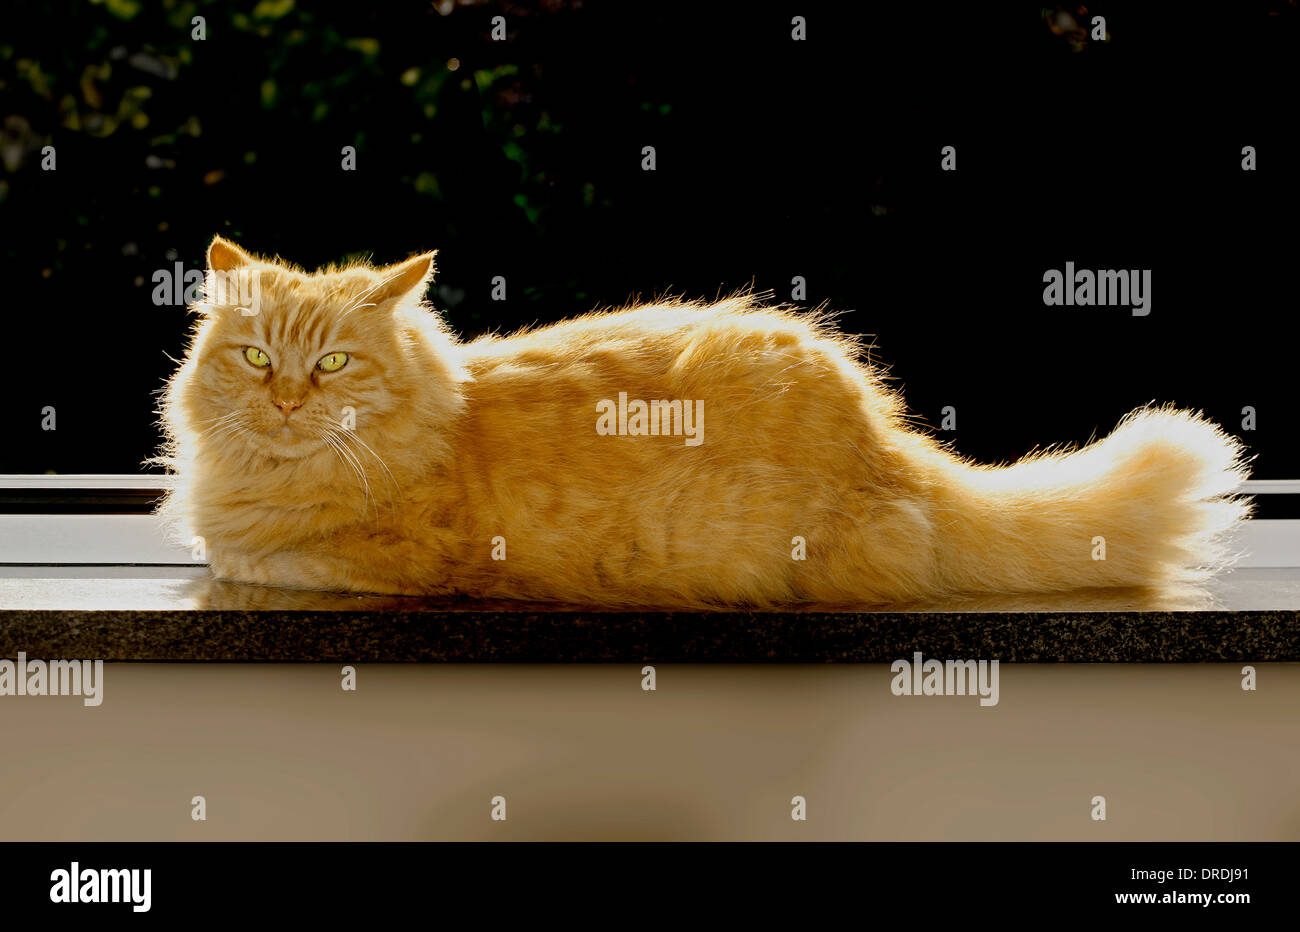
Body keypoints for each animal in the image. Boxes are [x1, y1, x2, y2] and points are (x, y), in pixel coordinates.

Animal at [152, 236, 1248, 608]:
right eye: (257, 358)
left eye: (335, 362)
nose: (287, 400)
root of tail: (895, 452)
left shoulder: (405, 558)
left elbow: (254, 556)